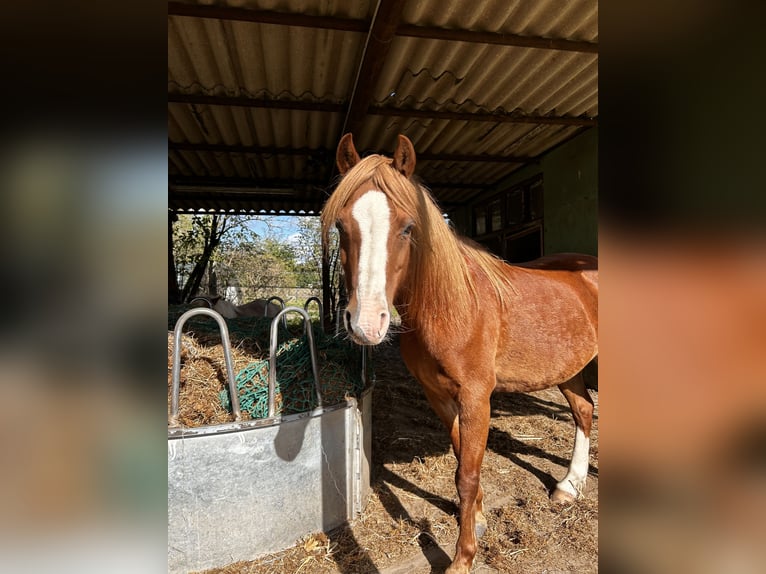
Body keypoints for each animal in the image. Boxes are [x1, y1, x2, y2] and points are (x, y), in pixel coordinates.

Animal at [322, 133, 600, 572]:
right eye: (341, 224)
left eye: (407, 228)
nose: (366, 323)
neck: (452, 305)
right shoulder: (439, 395)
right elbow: (460, 461)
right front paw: (479, 518)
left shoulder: (476, 397)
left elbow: (467, 475)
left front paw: (462, 557)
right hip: (569, 368)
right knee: (584, 412)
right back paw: (569, 486)